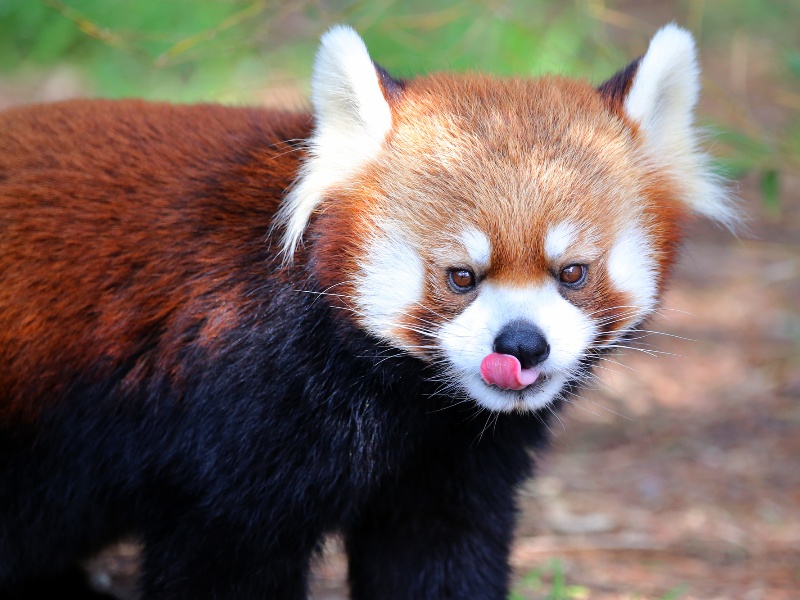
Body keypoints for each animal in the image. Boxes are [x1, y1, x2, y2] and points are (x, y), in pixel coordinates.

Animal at [0, 24, 736, 600]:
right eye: (461, 277)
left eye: (573, 273)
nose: (522, 345)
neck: (402, 400)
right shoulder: (231, 411)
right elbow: (221, 560)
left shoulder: (451, 462)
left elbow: (438, 555)